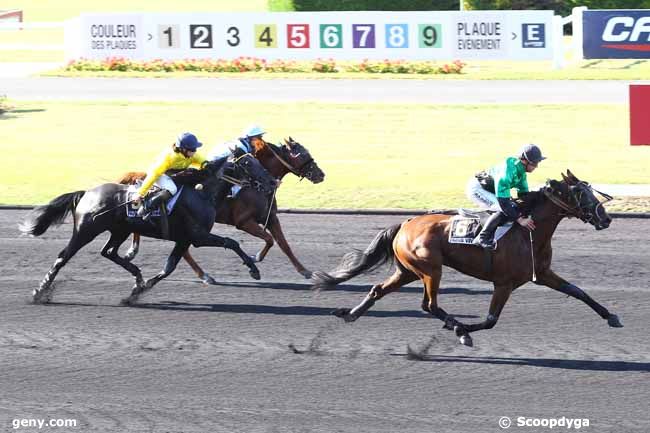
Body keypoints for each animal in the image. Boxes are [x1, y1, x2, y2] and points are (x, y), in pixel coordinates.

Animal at [20, 154, 276, 304]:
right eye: (248, 164)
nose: (273, 181)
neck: (202, 193)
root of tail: (86, 193)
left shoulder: (184, 240)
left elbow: (169, 267)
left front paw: (138, 291)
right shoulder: (198, 236)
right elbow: (232, 242)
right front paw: (253, 268)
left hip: (119, 230)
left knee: (109, 252)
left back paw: (138, 276)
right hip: (86, 231)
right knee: (63, 256)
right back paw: (40, 292)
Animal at [117, 137, 324, 282]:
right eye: (302, 154)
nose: (321, 174)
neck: (255, 187)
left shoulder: (271, 217)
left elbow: (283, 244)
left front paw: (305, 271)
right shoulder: (244, 222)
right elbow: (269, 239)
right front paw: (254, 259)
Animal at [312, 170, 620, 346]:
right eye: (579, 192)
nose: (605, 218)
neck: (529, 232)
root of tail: (406, 223)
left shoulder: (542, 274)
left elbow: (578, 291)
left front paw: (612, 316)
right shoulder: (504, 283)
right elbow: (491, 319)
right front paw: (464, 330)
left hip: (408, 271)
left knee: (378, 289)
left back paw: (351, 313)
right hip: (430, 270)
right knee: (429, 305)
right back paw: (458, 327)